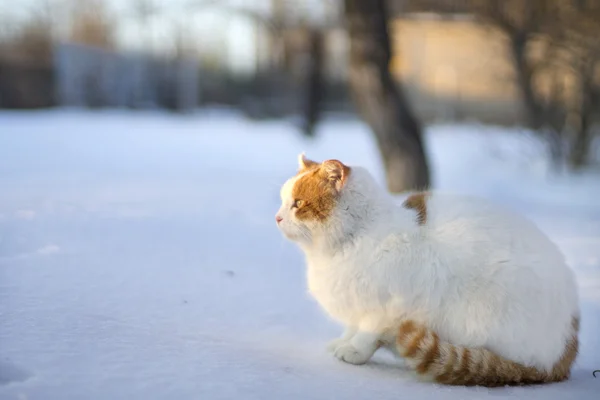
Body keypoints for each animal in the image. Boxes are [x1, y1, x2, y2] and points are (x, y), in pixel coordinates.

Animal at [276, 153, 580, 388]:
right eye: (283, 201)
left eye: (298, 203)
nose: (277, 217)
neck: (354, 238)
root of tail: (564, 356)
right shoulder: (358, 303)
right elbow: (353, 326)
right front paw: (343, 342)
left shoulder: (389, 309)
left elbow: (367, 333)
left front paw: (353, 350)